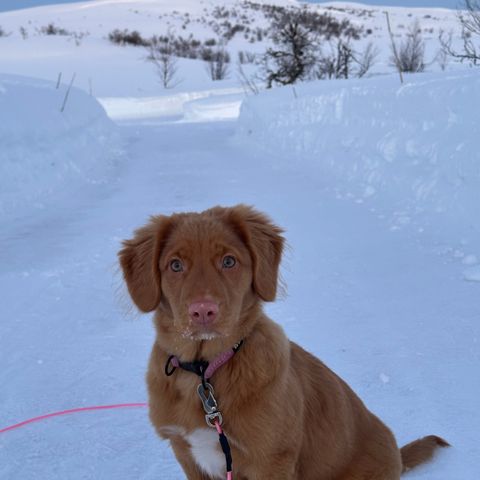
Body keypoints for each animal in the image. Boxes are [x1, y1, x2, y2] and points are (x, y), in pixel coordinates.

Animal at [118, 205, 448, 480]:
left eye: (229, 261)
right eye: (175, 265)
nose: (203, 311)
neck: (204, 372)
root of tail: (397, 456)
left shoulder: (271, 461)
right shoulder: (187, 454)